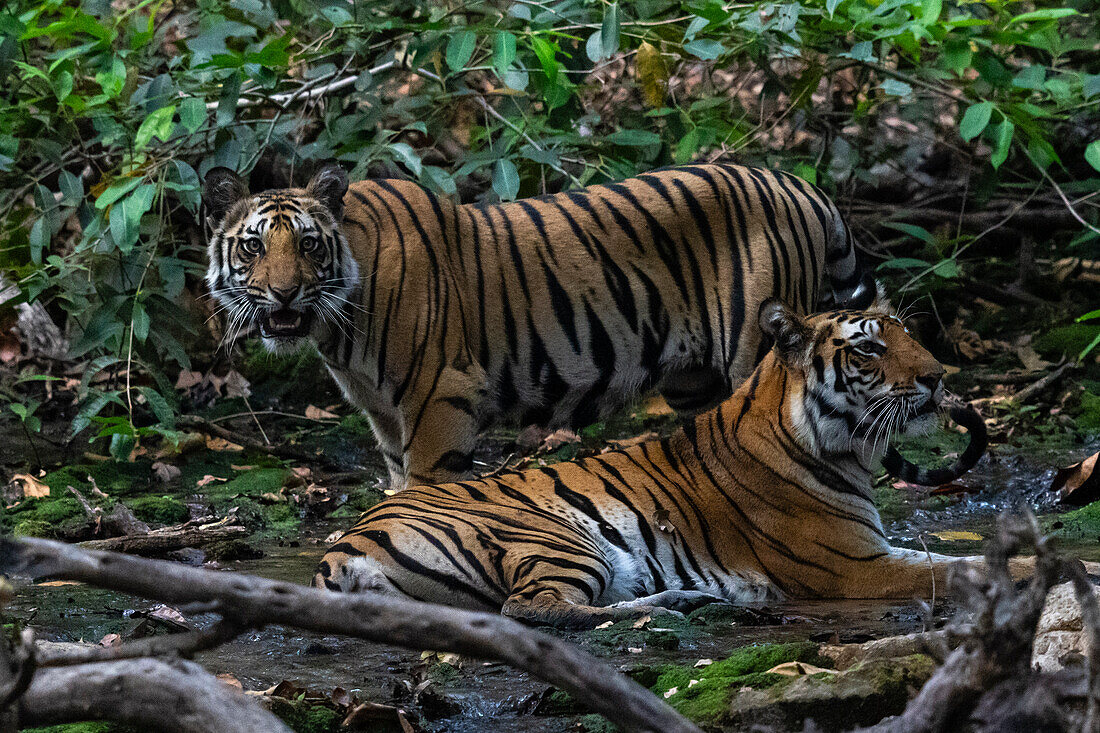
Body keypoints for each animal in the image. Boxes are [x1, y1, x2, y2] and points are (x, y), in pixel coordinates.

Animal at [204, 161, 875, 488]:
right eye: (254, 248)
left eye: (309, 245)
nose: (284, 293)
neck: (338, 327)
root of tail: (803, 185)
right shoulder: (384, 416)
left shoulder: (437, 397)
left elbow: (425, 492)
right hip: (696, 380)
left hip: (754, 350)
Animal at [314, 299, 1007, 625]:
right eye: (867, 348)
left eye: (908, 335)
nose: (939, 375)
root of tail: (341, 547)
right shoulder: (855, 566)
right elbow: (962, 571)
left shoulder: (878, 550)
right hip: (559, 536)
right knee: (533, 608)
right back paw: (669, 607)